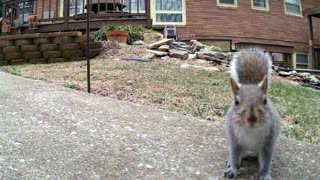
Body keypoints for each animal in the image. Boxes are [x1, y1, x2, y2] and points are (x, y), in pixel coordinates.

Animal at [224, 48, 282, 179]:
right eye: (236, 102)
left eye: (265, 100)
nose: (251, 118)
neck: (251, 130)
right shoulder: (235, 141)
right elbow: (235, 157)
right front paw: (233, 169)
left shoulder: (268, 142)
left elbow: (266, 162)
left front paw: (265, 175)